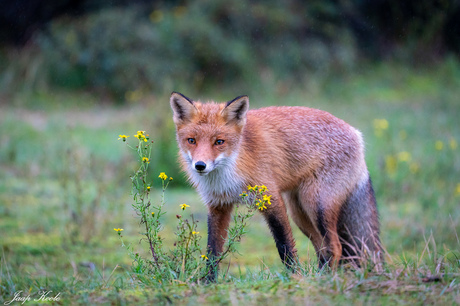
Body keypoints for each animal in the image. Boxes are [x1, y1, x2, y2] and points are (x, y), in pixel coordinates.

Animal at [169, 91, 380, 280]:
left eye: (219, 142)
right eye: (192, 141)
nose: (200, 165)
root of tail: (356, 133)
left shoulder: (271, 199)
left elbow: (284, 246)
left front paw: (294, 277)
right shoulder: (218, 206)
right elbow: (213, 251)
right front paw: (208, 283)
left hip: (316, 204)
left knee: (335, 247)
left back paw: (324, 279)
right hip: (300, 212)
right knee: (323, 247)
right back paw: (319, 276)